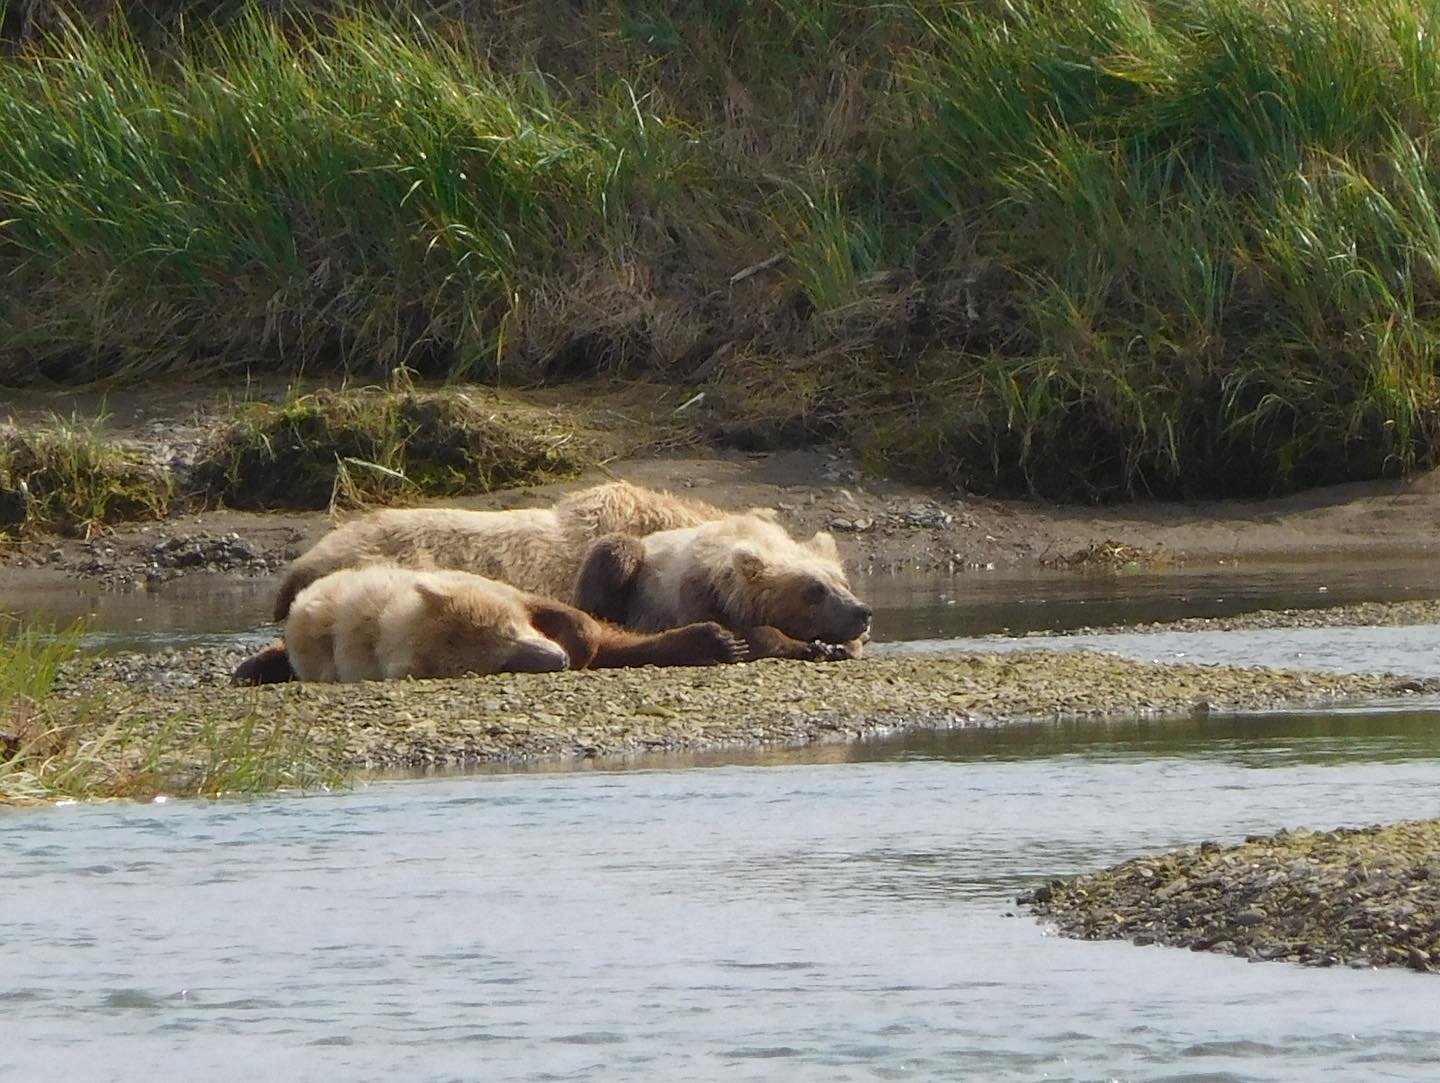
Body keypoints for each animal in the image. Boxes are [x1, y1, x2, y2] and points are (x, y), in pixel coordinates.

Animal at [573, 513, 873, 663]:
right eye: (815, 589)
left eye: (843, 583)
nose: (863, 612)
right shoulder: (697, 595)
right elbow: (742, 633)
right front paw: (810, 647)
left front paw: (840, 646)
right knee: (615, 553)